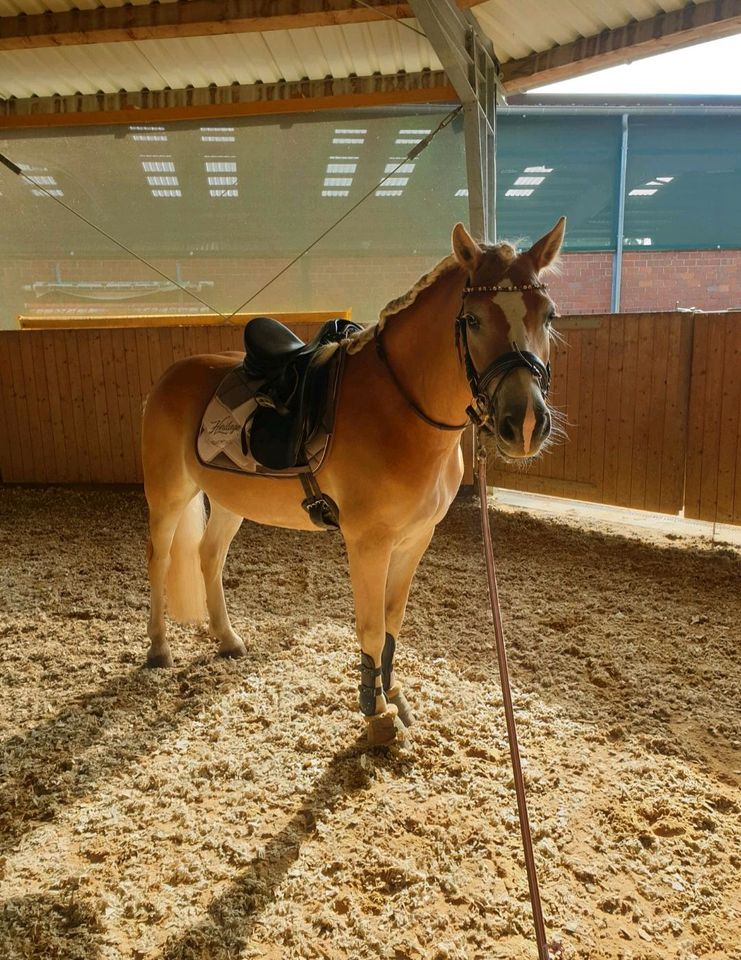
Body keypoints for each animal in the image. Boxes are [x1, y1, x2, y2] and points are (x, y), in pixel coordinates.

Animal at [142, 218, 564, 744]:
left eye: (548, 316)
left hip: (228, 500)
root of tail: (170, 375)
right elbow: (369, 627)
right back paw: (158, 649)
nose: (524, 424)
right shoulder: (368, 542)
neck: (400, 408)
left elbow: (392, 621)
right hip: (168, 494)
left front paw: (395, 696)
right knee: (159, 559)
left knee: (208, 556)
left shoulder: (415, 538)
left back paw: (227, 639)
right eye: (472, 320)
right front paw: (376, 713)